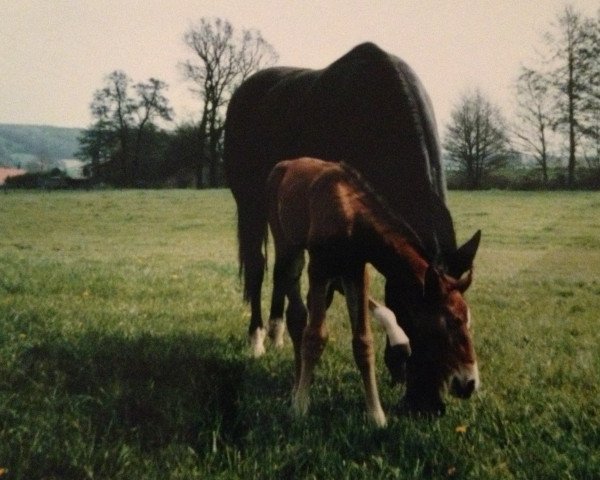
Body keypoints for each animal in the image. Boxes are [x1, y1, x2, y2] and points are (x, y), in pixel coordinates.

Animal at [268, 159, 478, 426]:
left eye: (468, 321)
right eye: (448, 323)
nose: (469, 383)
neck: (351, 215)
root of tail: (287, 163)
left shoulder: (356, 271)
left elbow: (363, 342)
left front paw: (376, 415)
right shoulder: (320, 268)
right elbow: (314, 336)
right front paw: (299, 408)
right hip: (288, 246)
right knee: (295, 309)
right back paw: (295, 382)